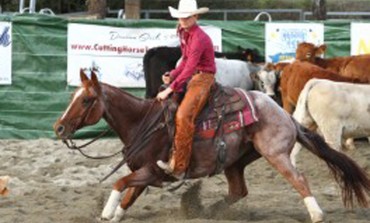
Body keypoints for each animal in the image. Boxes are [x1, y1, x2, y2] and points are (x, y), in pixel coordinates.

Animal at [52, 70, 370, 223]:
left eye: (86, 100)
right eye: (73, 96)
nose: (59, 128)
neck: (142, 122)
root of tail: (284, 114)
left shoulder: (152, 172)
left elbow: (120, 183)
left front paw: (107, 212)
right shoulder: (144, 174)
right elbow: (129, 195)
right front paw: (114, 214)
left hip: (276, 153)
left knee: (299, 178)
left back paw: (317, 214)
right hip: (235, 161)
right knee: (238, 191)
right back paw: (208, 210)